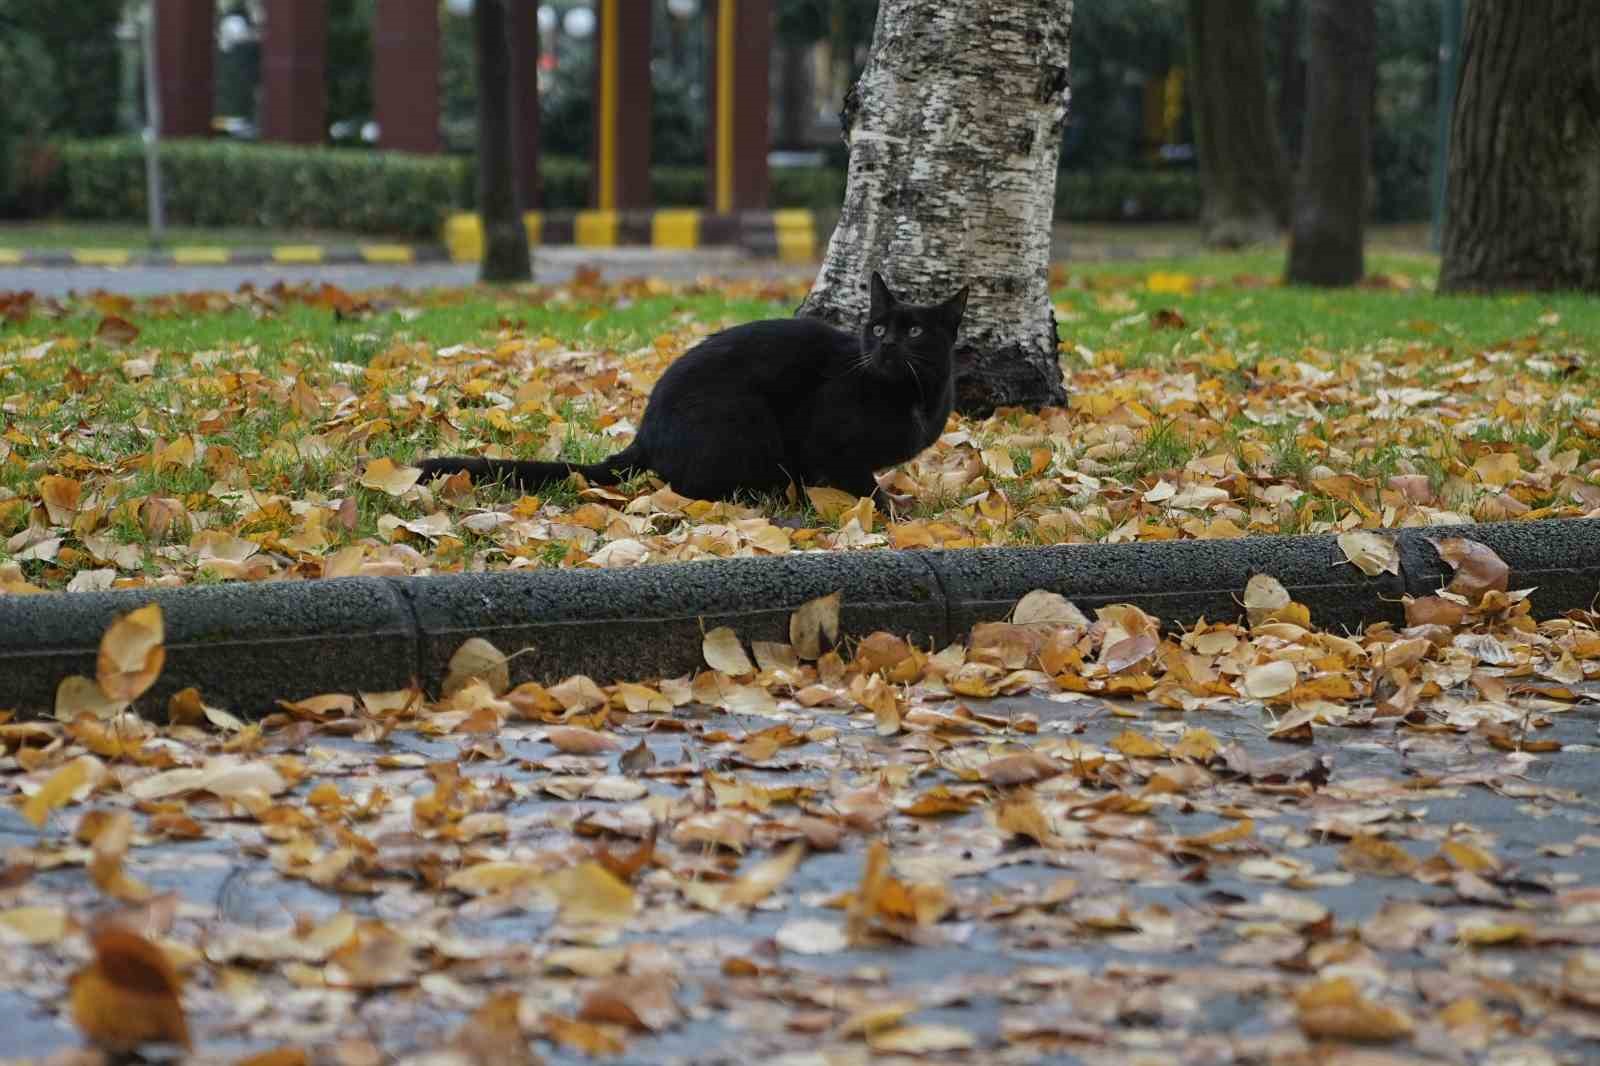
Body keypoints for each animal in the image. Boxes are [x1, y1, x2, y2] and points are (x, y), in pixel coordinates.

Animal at [412, 272, 966, 508]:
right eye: (878, 327)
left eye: (915, 331)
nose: (885, 344)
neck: (913, 397)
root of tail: (645, 435)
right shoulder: (826, 440)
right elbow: (859, 482)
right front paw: (889, 509)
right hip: (746, 422)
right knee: (694, 486)